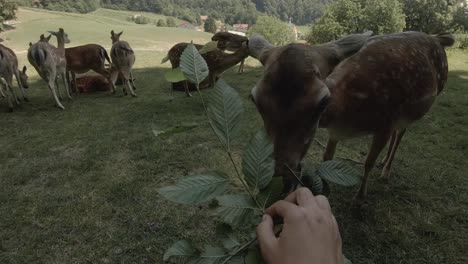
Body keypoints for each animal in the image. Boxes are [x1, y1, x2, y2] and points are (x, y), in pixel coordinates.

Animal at [250, 31, 456, 204]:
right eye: (254, 99)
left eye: (323, 102)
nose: (282, 175)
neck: (345, 113)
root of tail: (437, 38)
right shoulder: (336, 131)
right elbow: (327, 157)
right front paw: (325, 186)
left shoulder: (385, 122)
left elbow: (368, 162)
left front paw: (360, 195)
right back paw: (384, 162)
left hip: (414, 109)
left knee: (400, 134)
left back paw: (386, 171)